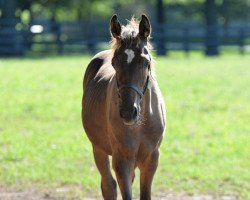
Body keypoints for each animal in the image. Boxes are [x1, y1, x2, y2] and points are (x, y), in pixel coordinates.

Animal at [82, 14, 166, 200]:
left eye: (146, 62)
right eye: (114, 63)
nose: (128, 113)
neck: (141, 123)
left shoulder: (152, 159)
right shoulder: (122, 159)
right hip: (98, 148)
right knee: (108, 186)